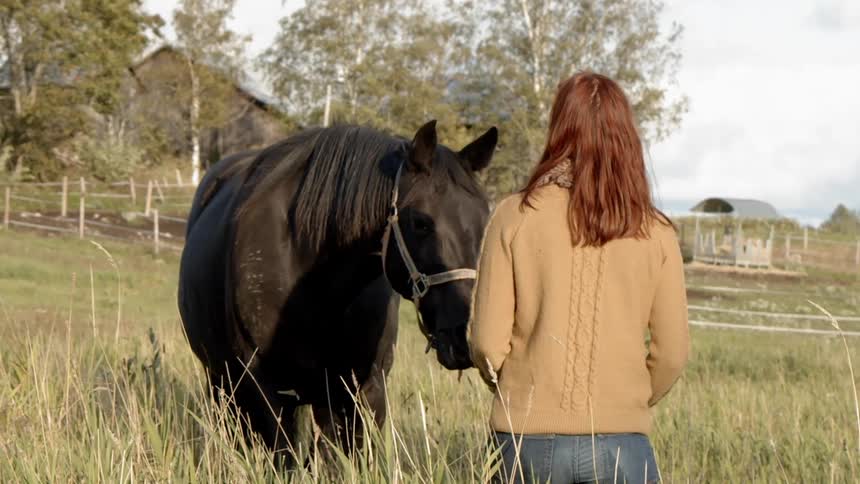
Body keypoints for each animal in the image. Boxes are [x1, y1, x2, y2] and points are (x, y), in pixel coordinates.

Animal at [177, 120, 498, 460]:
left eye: (485, 219)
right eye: (421, 223)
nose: (468, 336)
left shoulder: (363, 390)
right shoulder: (263, 391)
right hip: (222, 382)